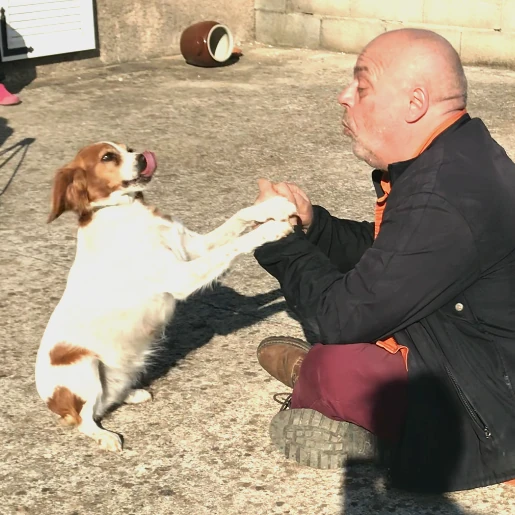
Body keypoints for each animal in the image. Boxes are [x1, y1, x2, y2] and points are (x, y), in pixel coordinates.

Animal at [34, 141, 296, 452]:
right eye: (108, 157)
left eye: (128, 148)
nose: (142, 156)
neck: (126, 211)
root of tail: (52, 402)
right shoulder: (181, 277)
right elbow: (234, 245)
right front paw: (271, 229)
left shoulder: (194, 248)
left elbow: (239, 216)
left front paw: (274, 207)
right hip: (83, 366)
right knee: (84, 419)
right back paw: (105, 436)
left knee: (105, 402)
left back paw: (133, 394)